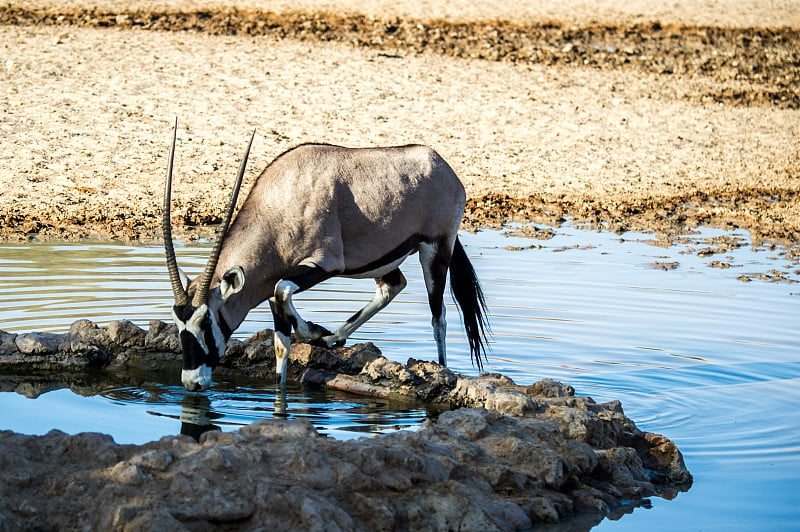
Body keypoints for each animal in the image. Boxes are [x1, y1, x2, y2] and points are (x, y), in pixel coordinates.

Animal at [162, 123, 488, 390]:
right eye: (178, 323)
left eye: (206, 322)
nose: (191, 382)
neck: (278, 206)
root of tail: (442, 165)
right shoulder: (271, 286)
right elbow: (281, 342)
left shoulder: (323, 263)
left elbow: (284, 290)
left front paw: (312, 330)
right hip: (382, 259)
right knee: (393, 286)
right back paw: (335, 338)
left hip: (435, 250)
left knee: (438, 316)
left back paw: (442, 369)